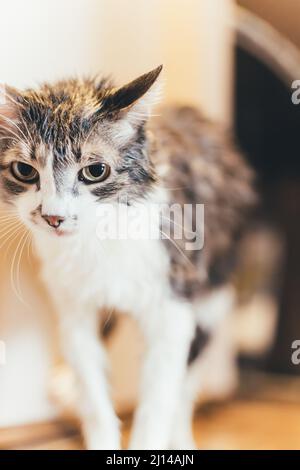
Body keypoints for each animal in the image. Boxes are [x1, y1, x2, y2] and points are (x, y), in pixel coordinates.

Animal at [0, 66, 255, 448]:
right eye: (25, 171)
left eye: (95, 171)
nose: (53, 218)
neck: (102, 238)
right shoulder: (74, 309)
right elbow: (93, 397)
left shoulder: (172, 310)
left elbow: (158, 403)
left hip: (213, 294)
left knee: (185, 388)